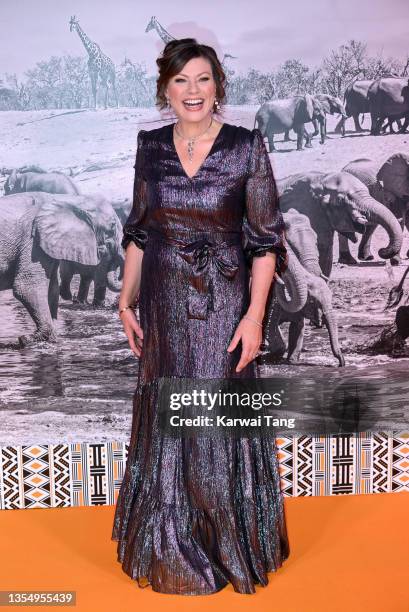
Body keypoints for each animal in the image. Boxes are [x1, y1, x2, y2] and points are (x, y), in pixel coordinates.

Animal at [0, 191, 124, 346]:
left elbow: (52, 289)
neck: (66, 200)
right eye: (112, 227)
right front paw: (30, 339)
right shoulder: (33, 242)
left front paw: (51, 336)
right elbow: (27, 286)